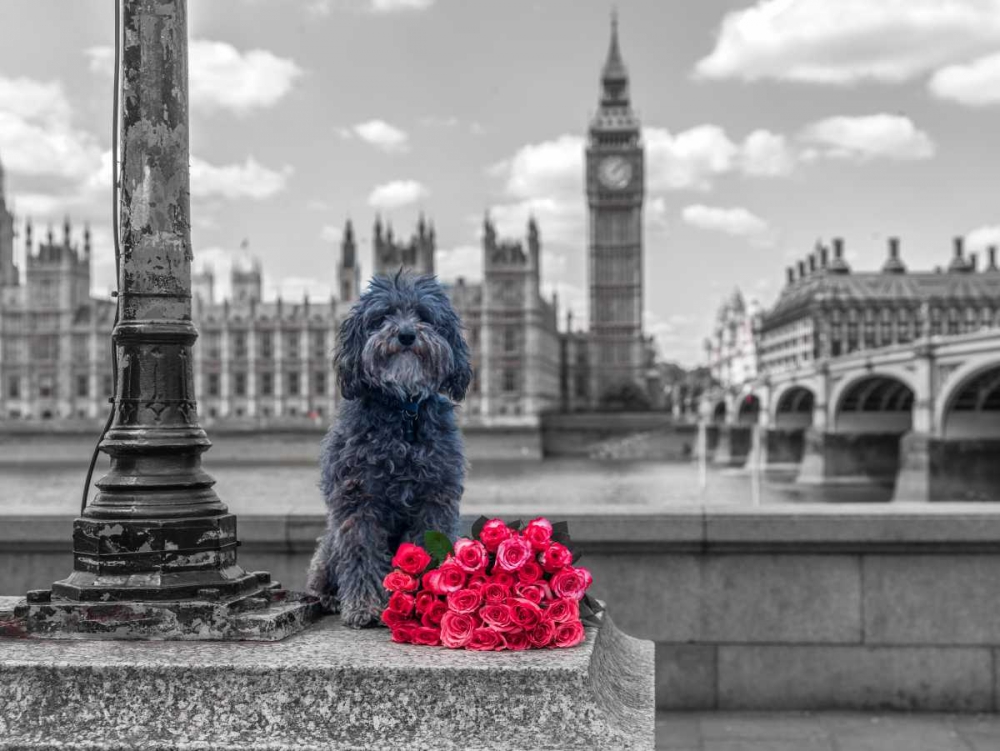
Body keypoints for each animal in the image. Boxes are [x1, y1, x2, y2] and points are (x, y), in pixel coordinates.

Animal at [304, 272, 472, 628]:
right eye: (383, 316)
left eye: (424, 315)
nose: (406, 335)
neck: (404, 412)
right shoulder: (358, 501)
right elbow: (362, 553)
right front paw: (366, 607)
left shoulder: (435, 500)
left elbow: (428, 549)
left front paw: (426, 604)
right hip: (328, 546)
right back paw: (329, 598)